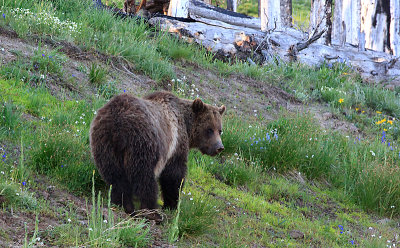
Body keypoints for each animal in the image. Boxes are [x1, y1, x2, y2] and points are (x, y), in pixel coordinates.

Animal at [89, 92, 225, 218]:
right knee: (144, 179)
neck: (186, 125)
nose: (219, 147)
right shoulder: (175, 145)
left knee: (115, 177)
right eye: (209, 129)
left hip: (104, 144)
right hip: (143, 143)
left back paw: (123, 205)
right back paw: (152, 211)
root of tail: (118, 124)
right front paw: (172, 205)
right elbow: (173, 175)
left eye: (220, 130)